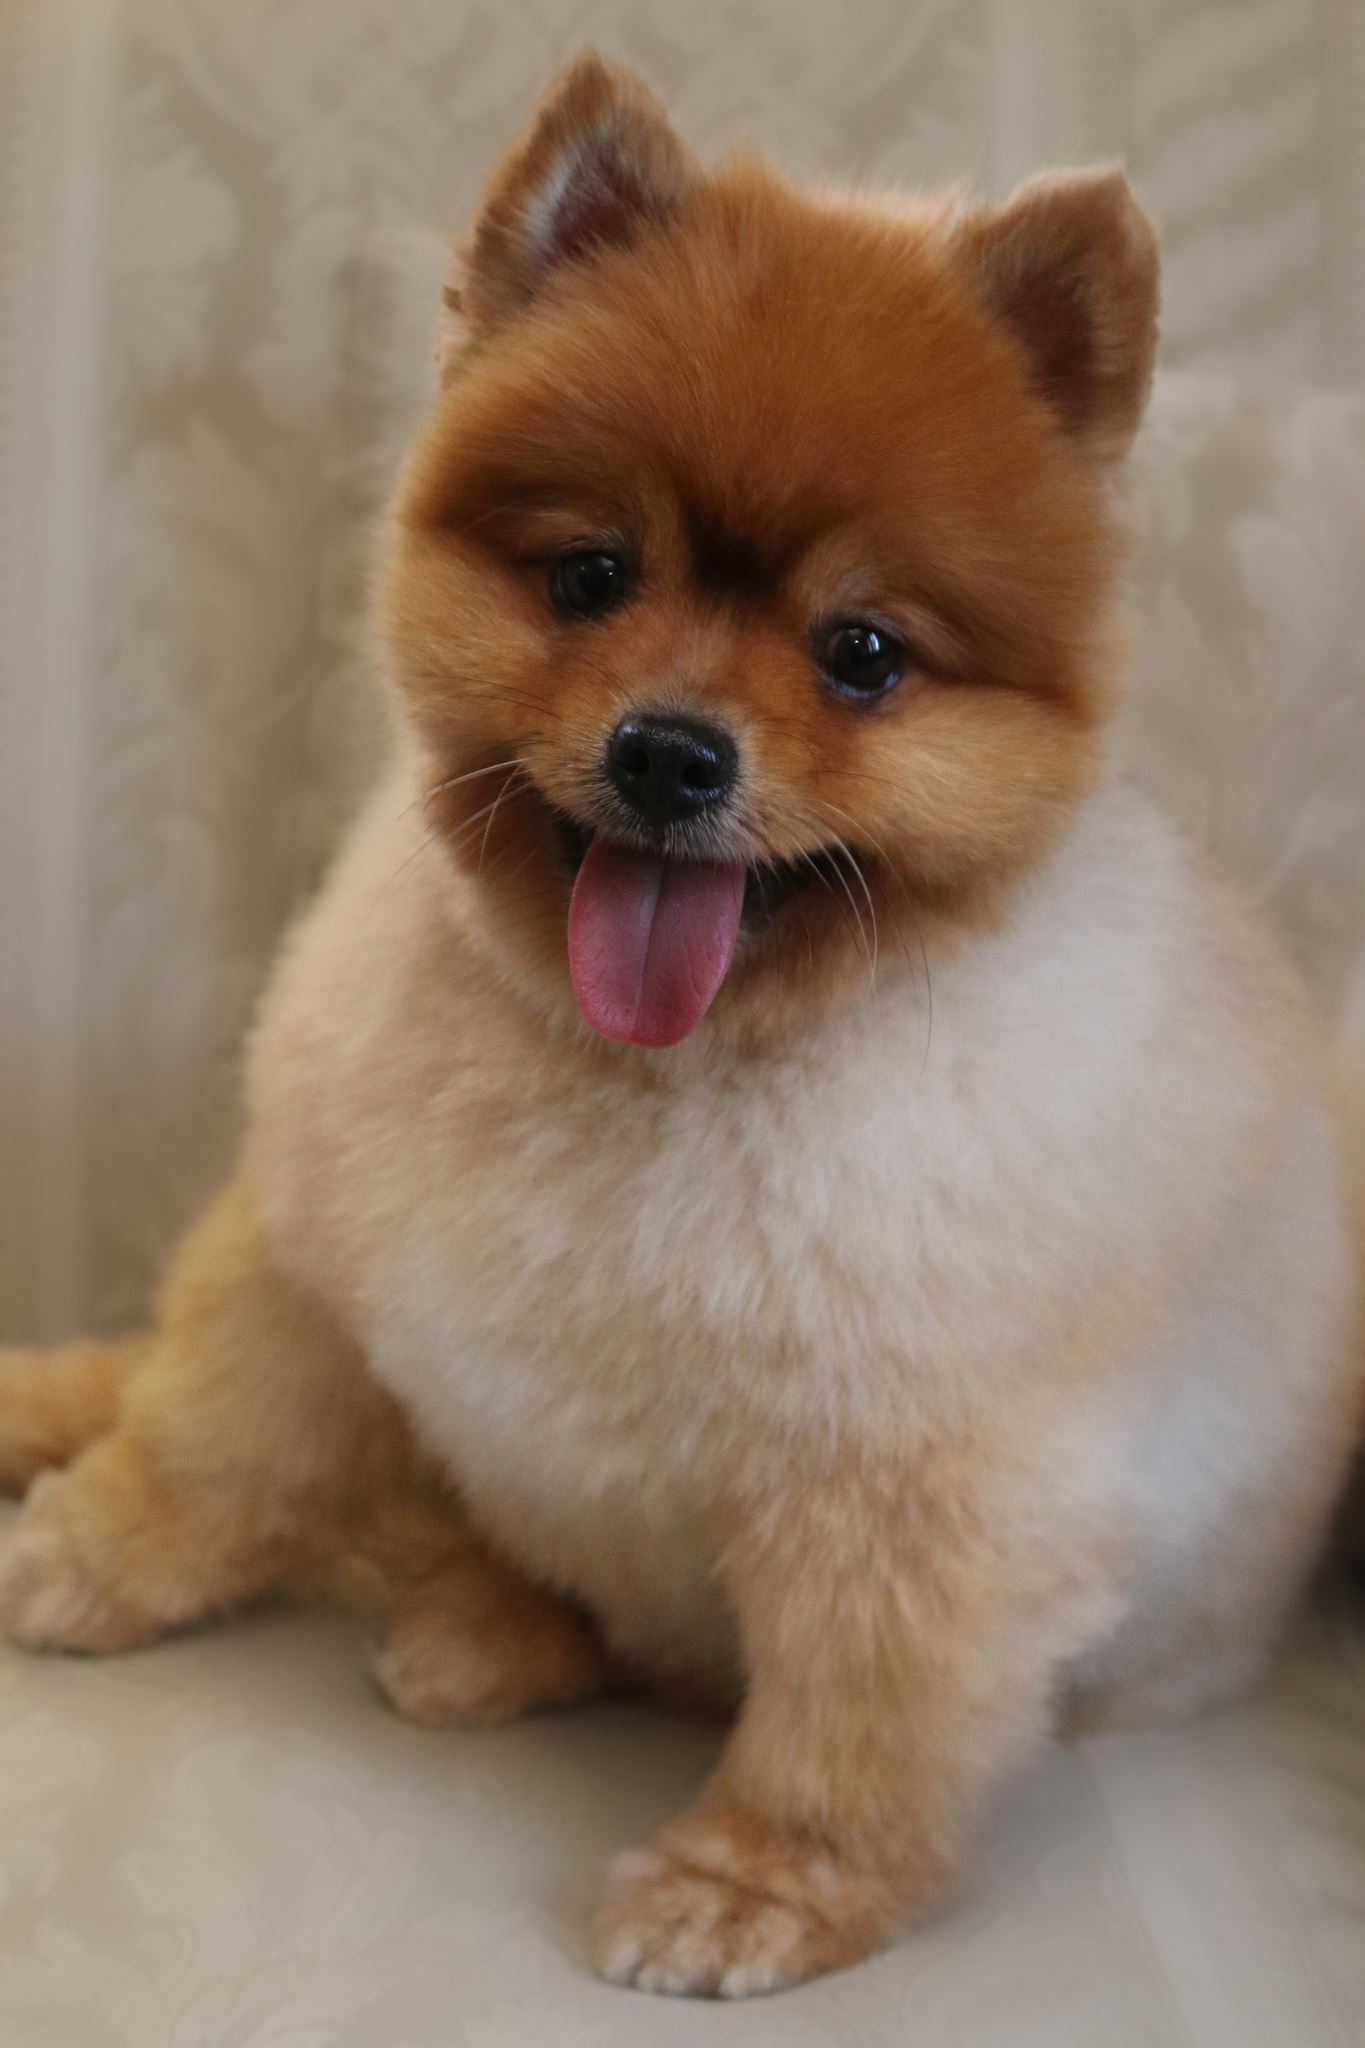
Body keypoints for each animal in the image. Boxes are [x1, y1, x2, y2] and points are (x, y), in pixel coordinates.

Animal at [1, 55, 1361, 1999]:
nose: (670, 751)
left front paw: (757, 1883)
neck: (649, 1070)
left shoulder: (922, 1499)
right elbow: (212, 1427)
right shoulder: (316, 1256)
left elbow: (855, 1722)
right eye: (590, 575)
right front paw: (104, 1549)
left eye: (863, 653)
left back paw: (483, 1625)